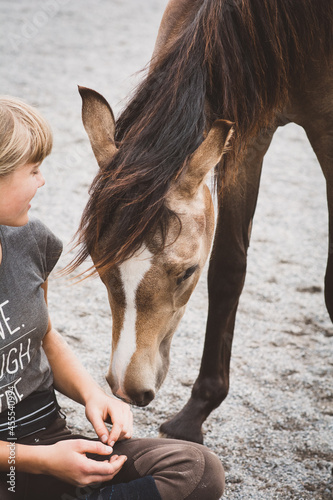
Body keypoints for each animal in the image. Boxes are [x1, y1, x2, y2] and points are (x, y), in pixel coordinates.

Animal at [71, 0, 332, 446]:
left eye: (186, 272)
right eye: (101, 267)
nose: (126, 388)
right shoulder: (246, 129)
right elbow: (228, 270)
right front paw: (195, 413)